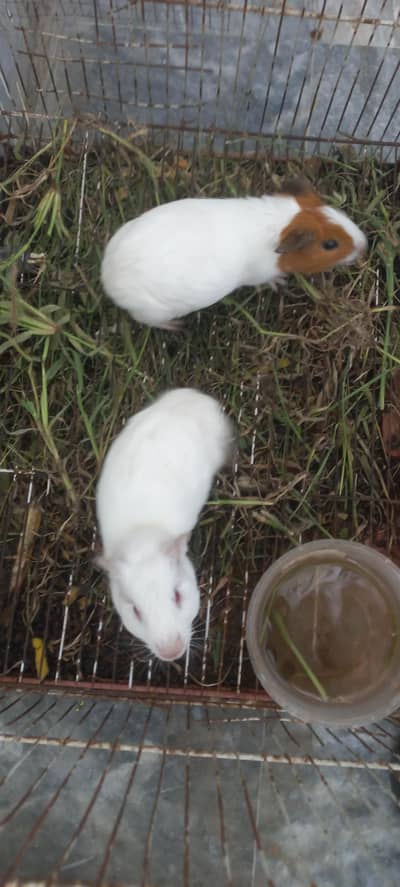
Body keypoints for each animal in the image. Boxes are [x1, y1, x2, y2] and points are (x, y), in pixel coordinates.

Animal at [101, 178, 367, 330]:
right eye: (330, 244)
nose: (364, 244)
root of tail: (108, 278)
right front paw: (280, 283)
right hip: (152, 312)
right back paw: (177, 326)